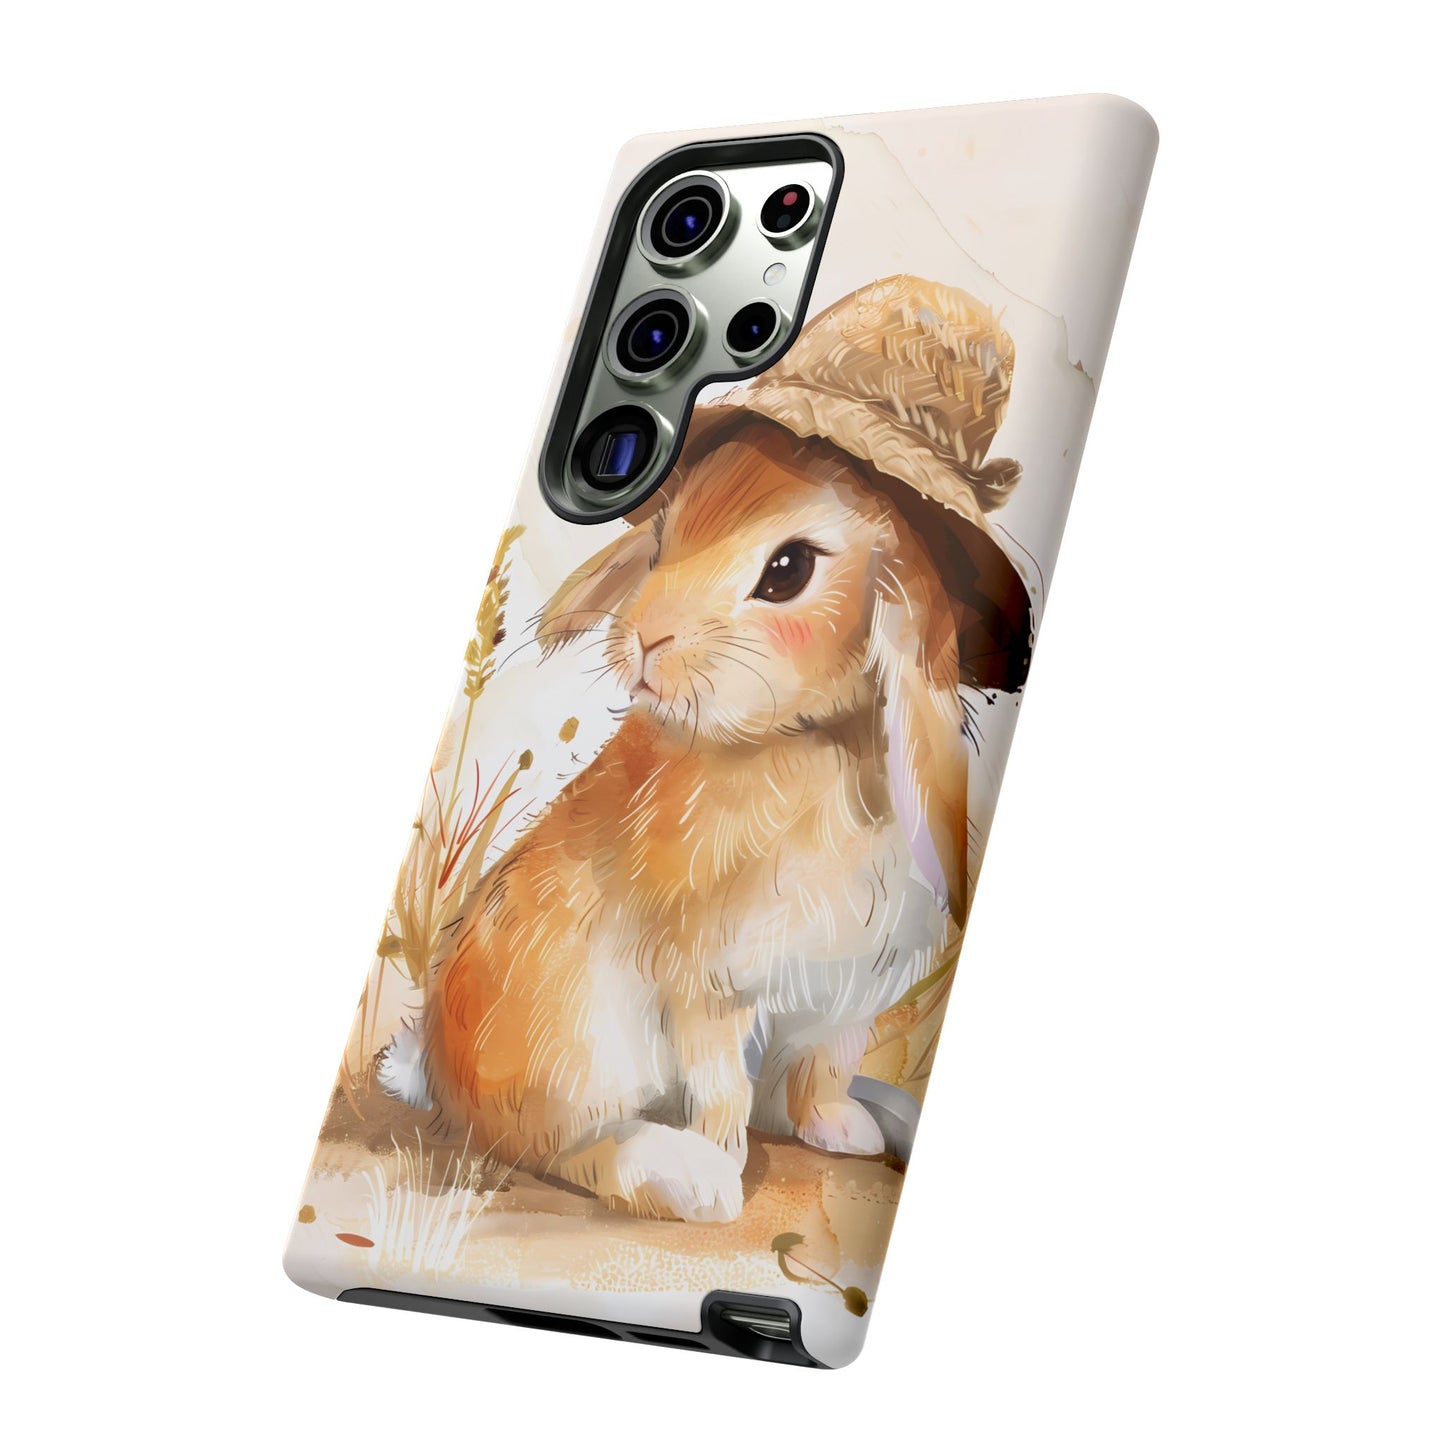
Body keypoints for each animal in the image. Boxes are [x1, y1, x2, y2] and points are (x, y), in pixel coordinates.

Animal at [408, 413, 1018, 1223]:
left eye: (788, 570)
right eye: (662, 540)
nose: (643, 636)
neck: (808, 740)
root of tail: (437, 1074)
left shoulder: (839, 1000)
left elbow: (822, 1072)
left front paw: (840, 1130)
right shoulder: (705, 983)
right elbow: (722, 1088)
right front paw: (726, 1167)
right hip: (575, 1041)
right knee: (557, 1145)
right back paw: (686, 1177)